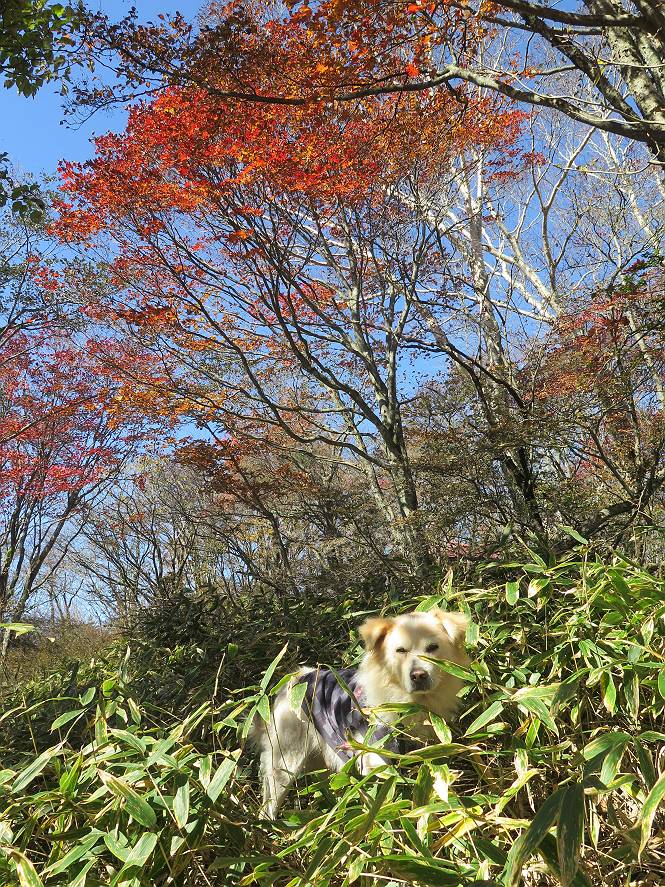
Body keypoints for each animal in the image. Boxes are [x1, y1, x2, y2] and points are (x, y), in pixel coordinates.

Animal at [252, 608, 469, 818]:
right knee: (268, 805)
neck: (408, 704)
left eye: (432, 647)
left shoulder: (432, 751)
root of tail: (295, 679)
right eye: (400, 651)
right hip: (284, 763)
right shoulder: (376, 763)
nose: (418, 675)